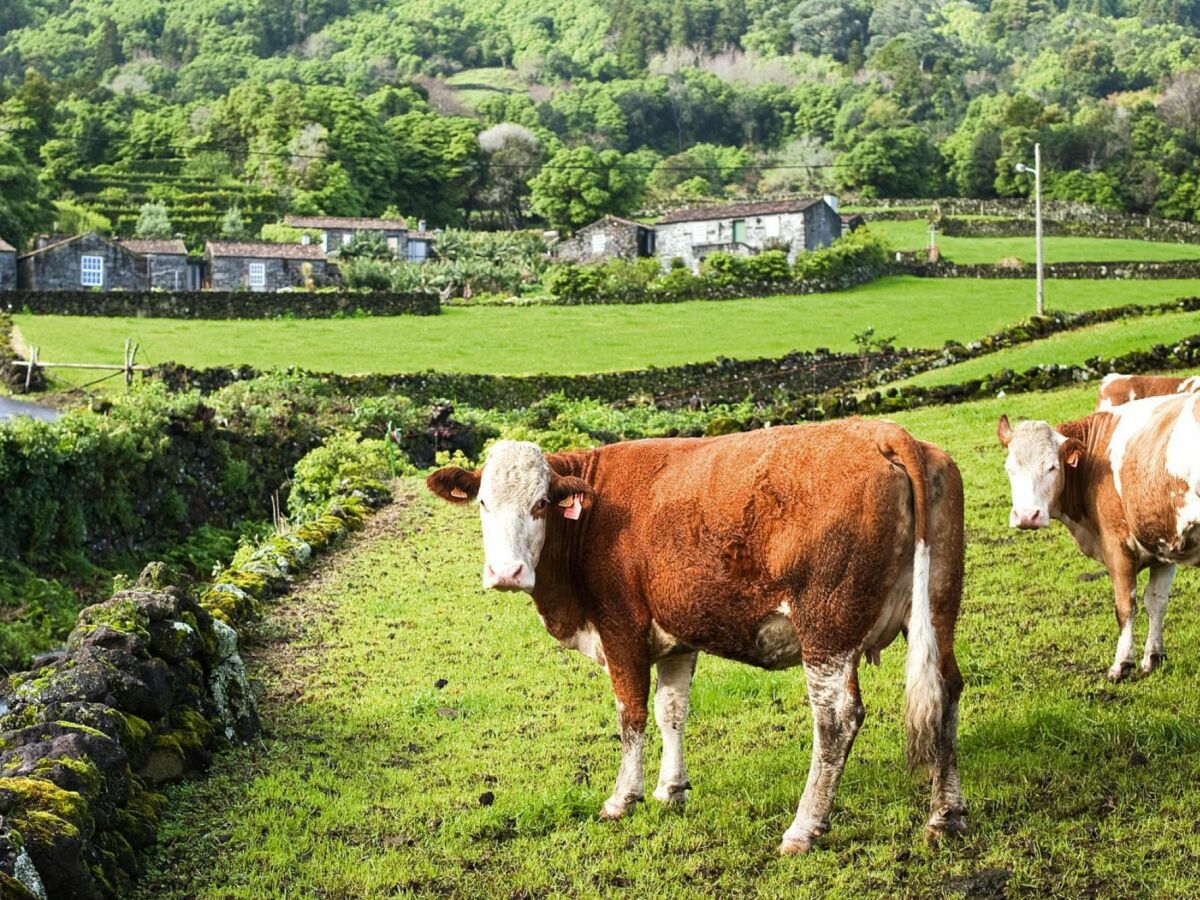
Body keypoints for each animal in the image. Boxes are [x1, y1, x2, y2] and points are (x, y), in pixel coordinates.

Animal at [427, 422, 969, 854]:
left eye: (541, 503)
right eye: (482, 502)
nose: (506, 573)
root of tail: (881, 431)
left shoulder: (621, 627)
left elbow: (632, 715)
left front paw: (622, 798)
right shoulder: (677, 635)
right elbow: (671, 711)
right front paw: (672, 790)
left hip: (826, 626)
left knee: (835, 718)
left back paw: (803, 828)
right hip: (937, 608)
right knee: (945, 689)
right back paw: (945, 816)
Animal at [998, 391, 1200, 681]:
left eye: (1052, 467)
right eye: (1009, 469)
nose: (1026, 516)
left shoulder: (1117, 545)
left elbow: (1125, 607)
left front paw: (1121, 665)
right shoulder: (1163, 544)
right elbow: (1156, 602)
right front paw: (1152, 657)